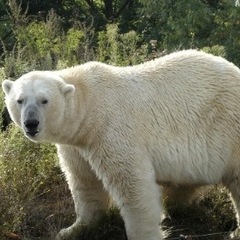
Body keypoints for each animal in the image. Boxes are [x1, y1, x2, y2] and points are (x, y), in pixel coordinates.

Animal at [1, 49, 240, 239]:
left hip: (229, 129)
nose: (31, 123)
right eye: (19, 100)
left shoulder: (113, 131)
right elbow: (84, 181)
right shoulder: (77, 144)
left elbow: (132, 185)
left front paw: (144, 234)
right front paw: (73, 229)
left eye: (44, 100)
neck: (90, 105)